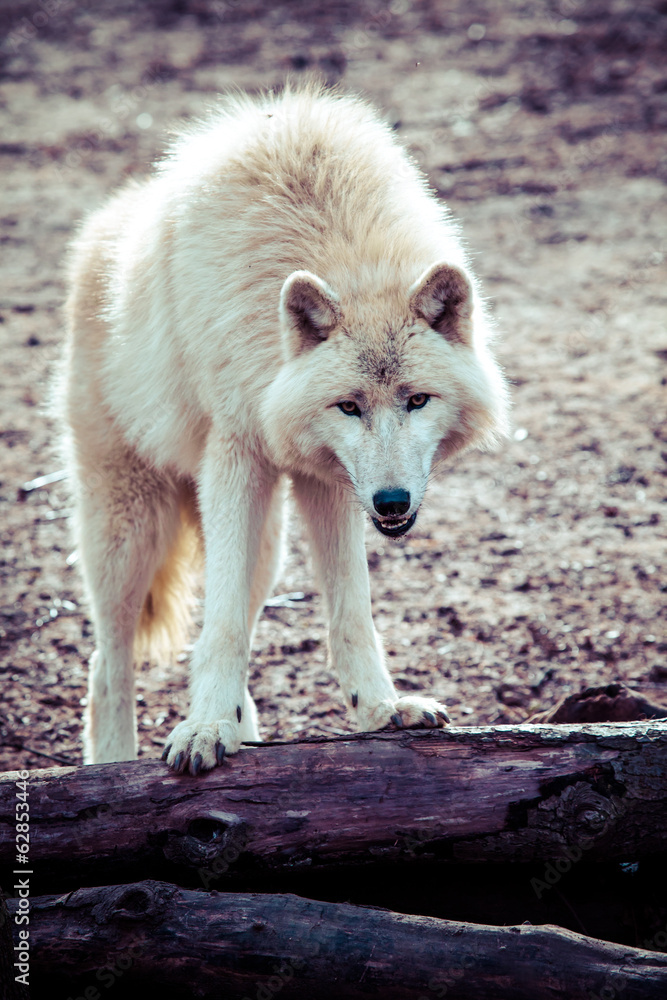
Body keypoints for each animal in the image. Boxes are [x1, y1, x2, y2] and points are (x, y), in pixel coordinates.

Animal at [61, 83, 508, 774]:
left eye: (417, 400)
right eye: (348, 406)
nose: (392, 502)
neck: (343, 251)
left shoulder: (328, 482)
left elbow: (351, 610)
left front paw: (381, 709)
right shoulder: (236, 452)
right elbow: (217, 629)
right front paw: (202, 729)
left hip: (265, 543)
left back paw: (242, 732)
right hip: (131, 529)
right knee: (108, 662)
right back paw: (113, 766)